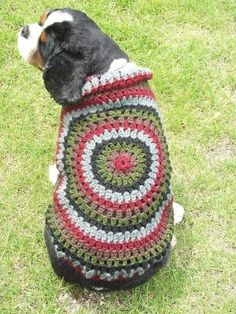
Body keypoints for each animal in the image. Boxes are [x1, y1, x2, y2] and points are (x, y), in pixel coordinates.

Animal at [18, 8, 184, 290]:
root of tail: (102, 280)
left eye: (43, 44)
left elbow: (56, 169)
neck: (105, 70)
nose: (25, 29)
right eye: (40, 20)